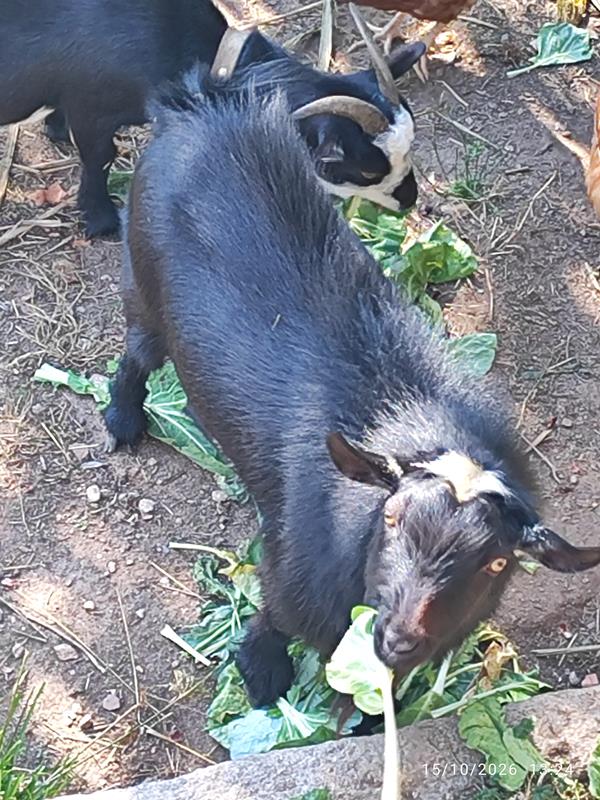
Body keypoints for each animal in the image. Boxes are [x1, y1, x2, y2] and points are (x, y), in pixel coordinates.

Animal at [0, 0, 424, 237]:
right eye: (365, 170)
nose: (409, 200)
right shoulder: (91, 107)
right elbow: (100, 158)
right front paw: (103, 222)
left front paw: (55, 128)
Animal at [103, 81, 600, 708]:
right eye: (390, 516)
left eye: (495, 564)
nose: (398, 637)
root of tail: (196, 105)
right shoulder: (292, 575)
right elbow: (274, 616)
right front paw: (261, 673)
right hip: (139, 280)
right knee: (136, 352)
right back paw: (122, 420)